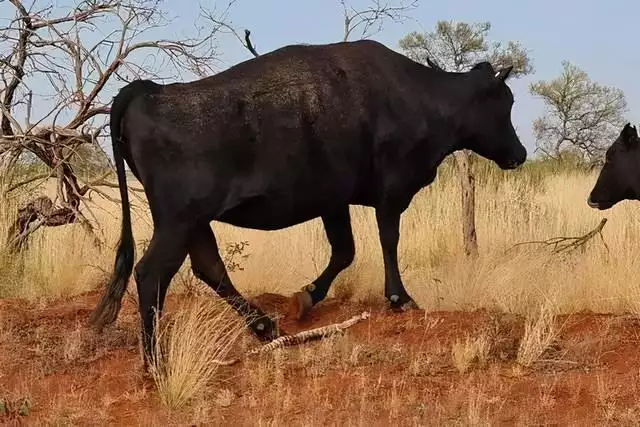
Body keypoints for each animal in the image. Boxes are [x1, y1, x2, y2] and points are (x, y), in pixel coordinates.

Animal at [90, 39, 528, 364]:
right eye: (505, 103)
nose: (519, 153)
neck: (420, 97)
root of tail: (150, 90)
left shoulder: (333, 201)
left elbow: (345, 252)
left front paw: (306, 297)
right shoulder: (391, 192)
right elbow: (388, 241)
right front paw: (400, 298)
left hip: (193, 223)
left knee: (209, 268)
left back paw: (264, 327)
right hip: (178, 220)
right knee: (152, 274)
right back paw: (154, 361)